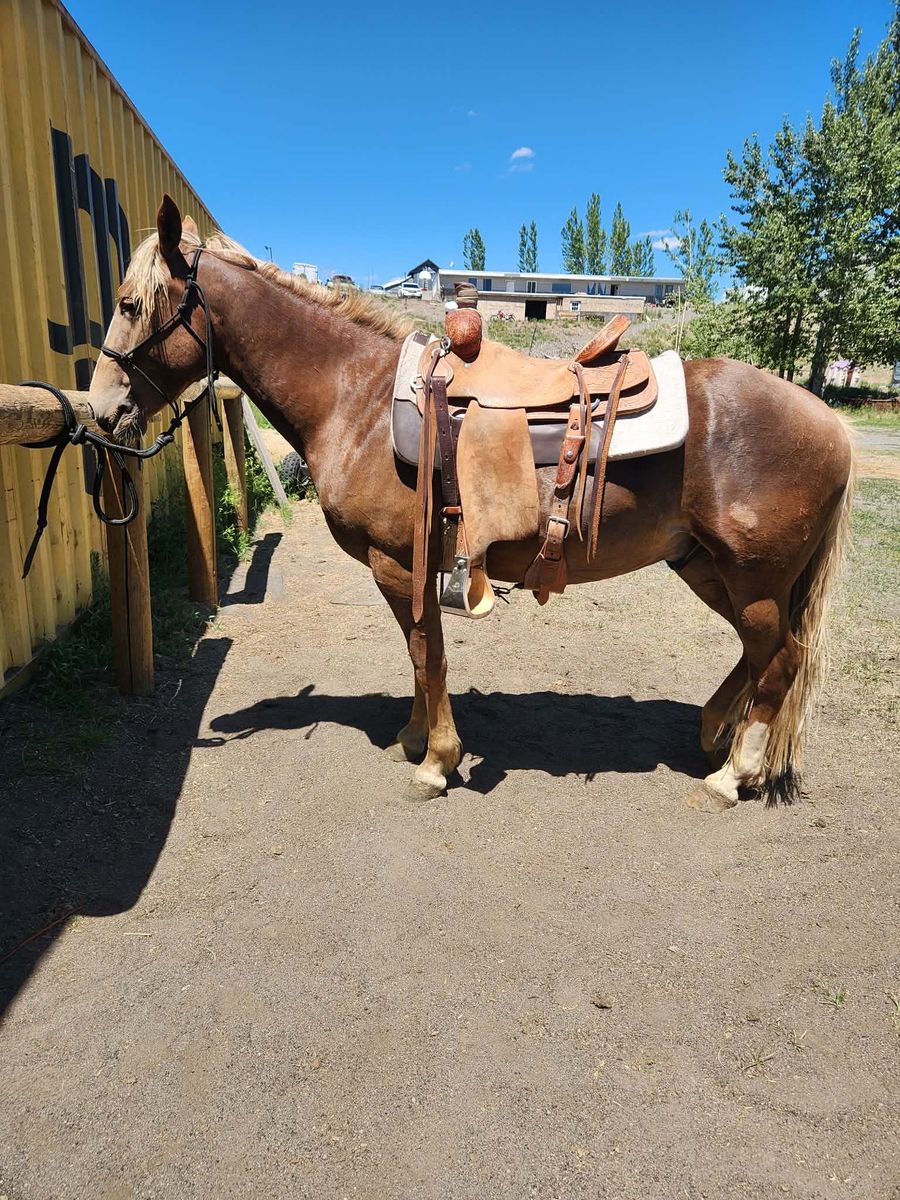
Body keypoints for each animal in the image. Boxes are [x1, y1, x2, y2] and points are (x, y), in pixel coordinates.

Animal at [88, 196, 854, 813]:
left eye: (130, 306)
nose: (101, 410)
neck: (357, 398)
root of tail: (831, 424)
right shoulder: (416, 568)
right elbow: (418, 655)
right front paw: (414, 736)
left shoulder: (398, 563)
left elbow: (427, 654)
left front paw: (435, 761)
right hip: (707, 567)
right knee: (759, 655)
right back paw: (715, 733)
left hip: (753, 578)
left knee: (780, 662)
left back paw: (733, 775)